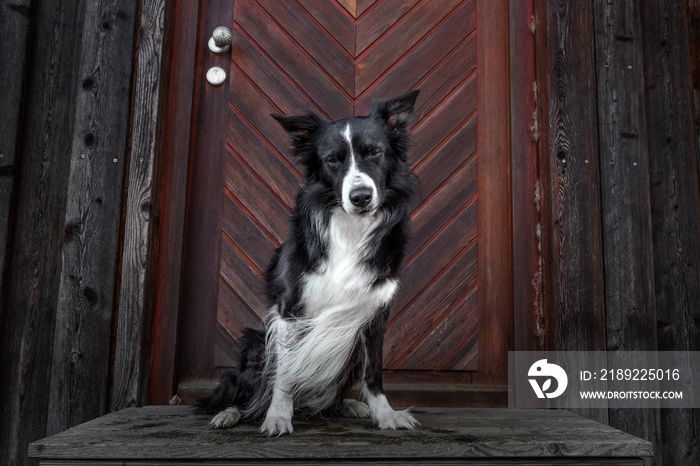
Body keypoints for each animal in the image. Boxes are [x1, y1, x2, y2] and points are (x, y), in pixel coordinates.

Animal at [200, 92, 424, 436]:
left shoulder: (374, 313)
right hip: (256, 343)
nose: (361, 196)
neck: (349, 227)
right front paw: (277, 416)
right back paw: (230, 413)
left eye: (375, 152)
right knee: (245, 394)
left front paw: (385, 415)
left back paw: (348, 406)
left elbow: (374, 373)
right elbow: (284, 374)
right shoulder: (289, 311)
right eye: (333, 160)